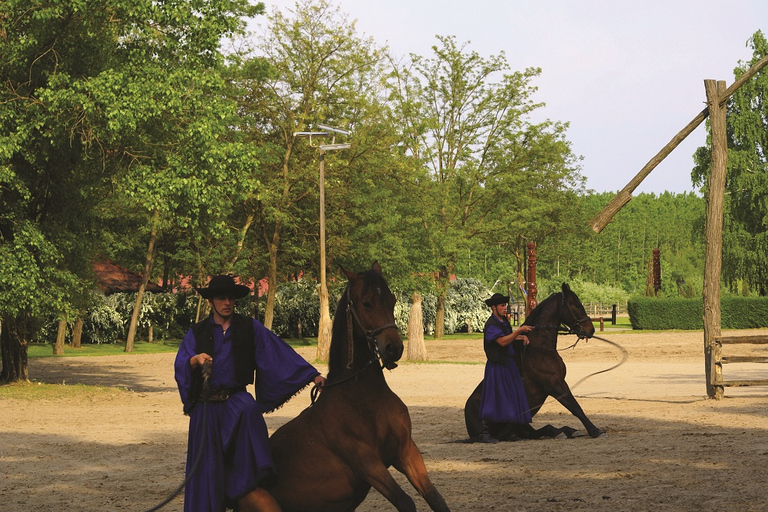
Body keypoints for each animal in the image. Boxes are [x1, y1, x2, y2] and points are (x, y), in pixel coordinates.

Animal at [268, 264, 452, 512]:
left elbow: (436, 498)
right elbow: (405, 501)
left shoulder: (406, 452)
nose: (394, 348)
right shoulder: (367, 463)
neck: (364, 397)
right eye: (366, 303)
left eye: (392, 300)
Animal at [464, 284, 604, 440]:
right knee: (507, 433)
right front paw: (594, 430)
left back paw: (563, 431)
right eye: (577, 305)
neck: (540, 348)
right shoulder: (555, 385)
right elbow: (575, 407)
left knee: (534, 431)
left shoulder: (559, 383)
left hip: (523, 423)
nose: (590, 330)